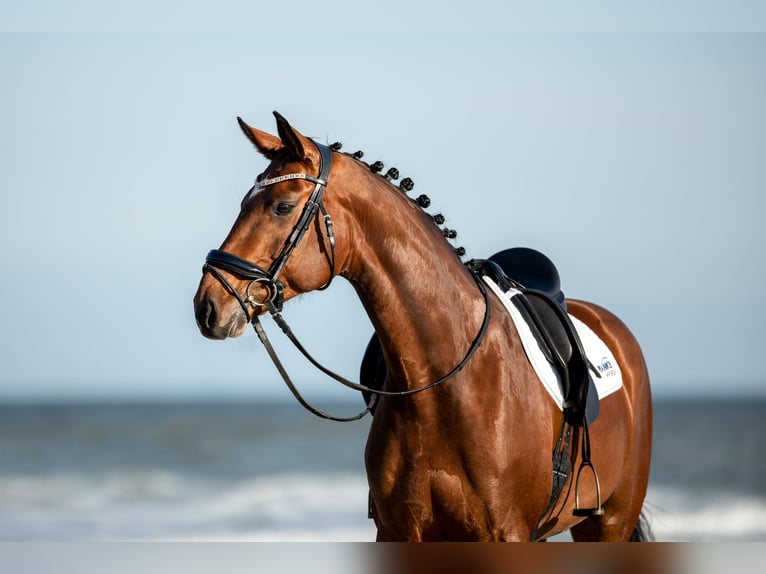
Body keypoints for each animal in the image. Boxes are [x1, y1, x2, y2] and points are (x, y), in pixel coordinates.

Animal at [194, 112, 656, 544]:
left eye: (283, 207)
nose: (208, 306)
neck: (443, 385)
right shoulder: (398, 531)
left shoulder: (507, 533)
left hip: (610, 522)